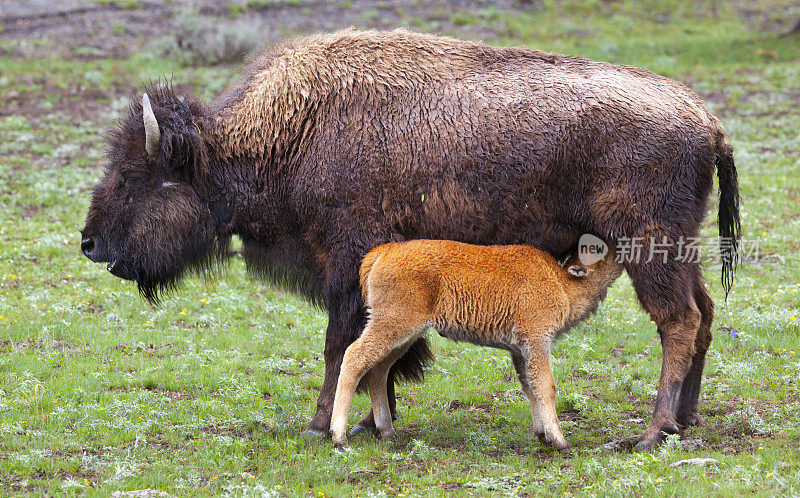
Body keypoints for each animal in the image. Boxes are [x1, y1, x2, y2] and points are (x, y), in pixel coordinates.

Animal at [328, 239, 620, 450]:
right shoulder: (537, 341)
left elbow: (530, 386)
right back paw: (339, 436)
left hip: (403, 335)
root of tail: (385, 251)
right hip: (392, 326)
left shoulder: (520, 350)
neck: (562, 282)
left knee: (378, 369)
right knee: (354, 357)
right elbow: (545, 386)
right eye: (596, 248)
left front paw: (541, 434)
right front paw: (560, 441)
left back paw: (387, 431)